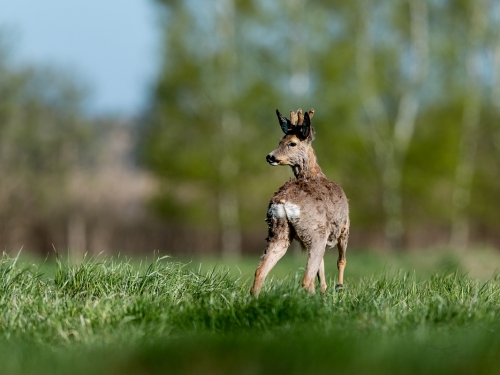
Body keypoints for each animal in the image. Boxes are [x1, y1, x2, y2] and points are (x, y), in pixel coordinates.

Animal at [249, 108, 350, 296]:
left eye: (291, 143)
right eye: (280, 141)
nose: (270, 156)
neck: (315, 174)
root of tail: (283, 202)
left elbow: (322, 268)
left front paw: (326, 291)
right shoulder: (344, 226)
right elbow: (340, 261)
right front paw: (339, 288)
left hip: (278, 231)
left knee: (260, 272)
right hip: (315, 232)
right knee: (307, 279)